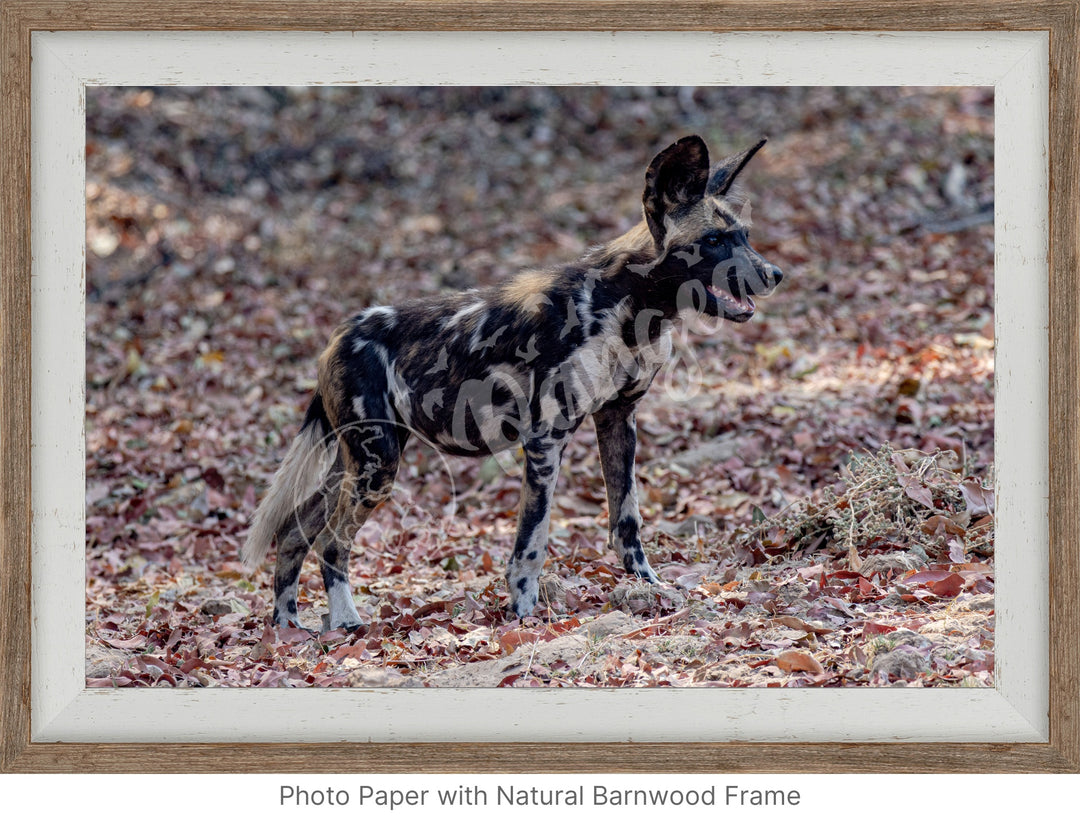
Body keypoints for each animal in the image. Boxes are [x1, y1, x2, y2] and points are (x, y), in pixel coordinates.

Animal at [243, 134, 786, 630]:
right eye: (713, 241)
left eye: (744, 235)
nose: (775, 274)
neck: (629, 306)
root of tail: (337, 336)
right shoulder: (545, 441)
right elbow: (532, 543)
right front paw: (525, 616)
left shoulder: (618, 420)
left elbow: (626, 521)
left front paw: (648, 588)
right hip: (377, 465)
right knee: (332, 541)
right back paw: (346, 624)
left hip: (358, 462)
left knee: (294, 532)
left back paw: (288, 628)